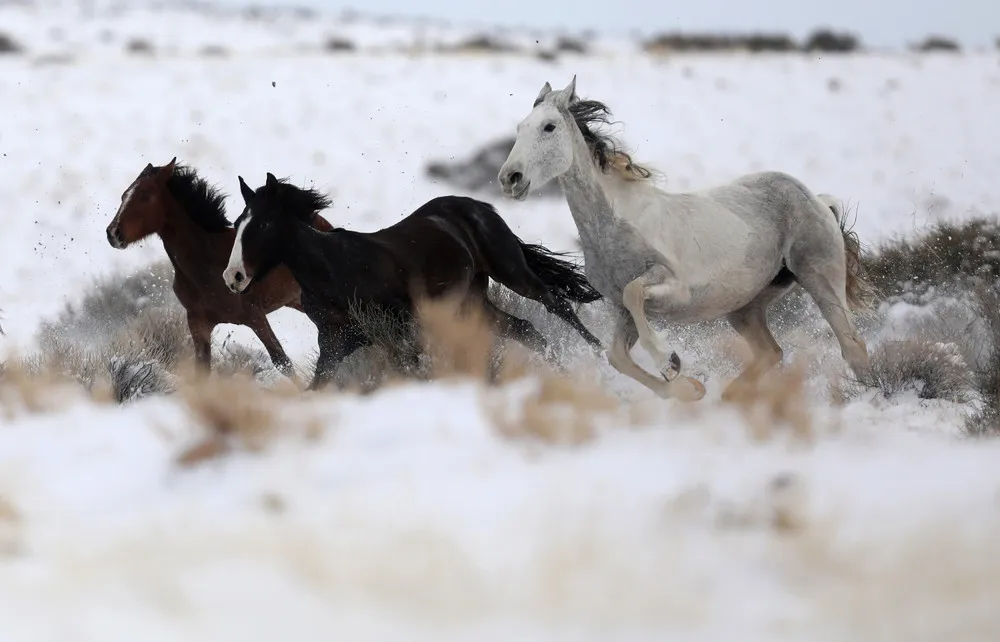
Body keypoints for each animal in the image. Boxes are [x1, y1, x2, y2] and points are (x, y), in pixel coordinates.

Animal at [105, 158, 334, 378]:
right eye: (124, 195)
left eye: (145, 195)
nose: (113, 233)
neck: (207, 263)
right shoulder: (198, 323)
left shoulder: (255, 316)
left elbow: (283, 363)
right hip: (297, 301)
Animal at [222, 172, 604, 391]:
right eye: (238, 222)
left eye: (264, 224)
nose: (233, 276)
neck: (335, 269)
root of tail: (476, 205)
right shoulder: (334, 343)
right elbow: (316, 387)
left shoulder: (402, 328)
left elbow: (415, 367)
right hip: (473, 299)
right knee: (525, 329)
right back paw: (565, 372)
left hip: (511, 271)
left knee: (556, 303)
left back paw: (599, 355)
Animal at [497, 76, 874, 402]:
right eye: (519, 128)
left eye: (549, 126)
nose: (509, 178)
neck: (612, 226)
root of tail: (816, 199)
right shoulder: (621, 311)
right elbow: (617, 355)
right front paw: (686, 388)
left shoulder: (673, 288)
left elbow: (635, 293)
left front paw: (670, 362)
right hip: (745, 307)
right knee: (771, 352)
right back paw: (728, 400)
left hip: (820, 279)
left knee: (852, 345)